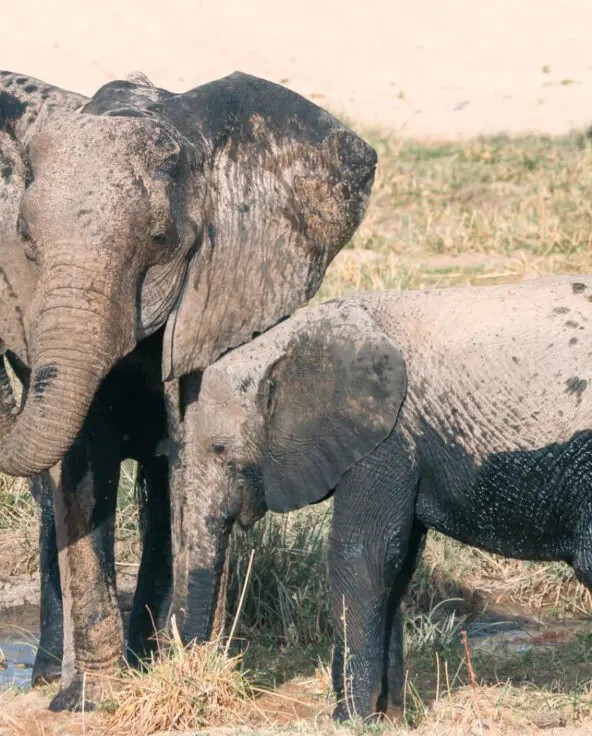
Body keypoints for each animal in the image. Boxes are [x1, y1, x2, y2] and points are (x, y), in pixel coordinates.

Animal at [0, 69, 377, 709]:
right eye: (25, 238)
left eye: (158, 238)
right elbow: (82, 466)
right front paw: (89, 703)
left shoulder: (217, 292)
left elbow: (189, 457)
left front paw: (170, 671)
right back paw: (54, 678)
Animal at [179, 274, 592, 720]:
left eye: (219, 449)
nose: (198, 674)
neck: (293, 340)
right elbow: (397, 565)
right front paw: (388, 718)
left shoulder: (387, 438)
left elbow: (363, 557)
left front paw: (349, 719)